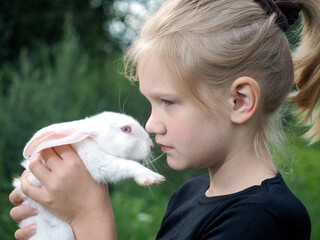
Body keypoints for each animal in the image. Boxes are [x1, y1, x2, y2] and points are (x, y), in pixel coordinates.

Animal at [13, 112, 165, 240]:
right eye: (126, 129)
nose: (151, 145)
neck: (91, 140)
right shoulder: (97, 161)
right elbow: (125, 164)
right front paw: (153, 178)